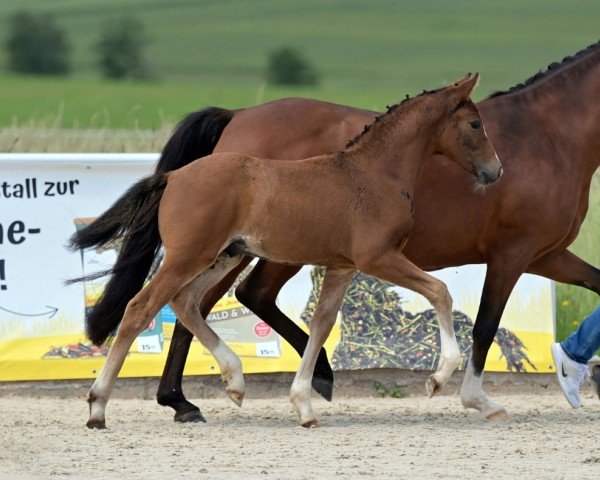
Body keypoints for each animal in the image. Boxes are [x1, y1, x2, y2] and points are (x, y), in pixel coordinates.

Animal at [71, 75, 502, 428]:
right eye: (475, 124)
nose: (495, 171)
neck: (374, 172)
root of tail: (173, 177)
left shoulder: (342, 267)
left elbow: (322, 324)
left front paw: (304, 404)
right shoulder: (377, 257)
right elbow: (439, 292)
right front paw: (438, 378)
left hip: (224, 255)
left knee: (186, 302)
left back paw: (233, 381)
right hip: (189, 256)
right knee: (140, 308)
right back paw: (98, 406)